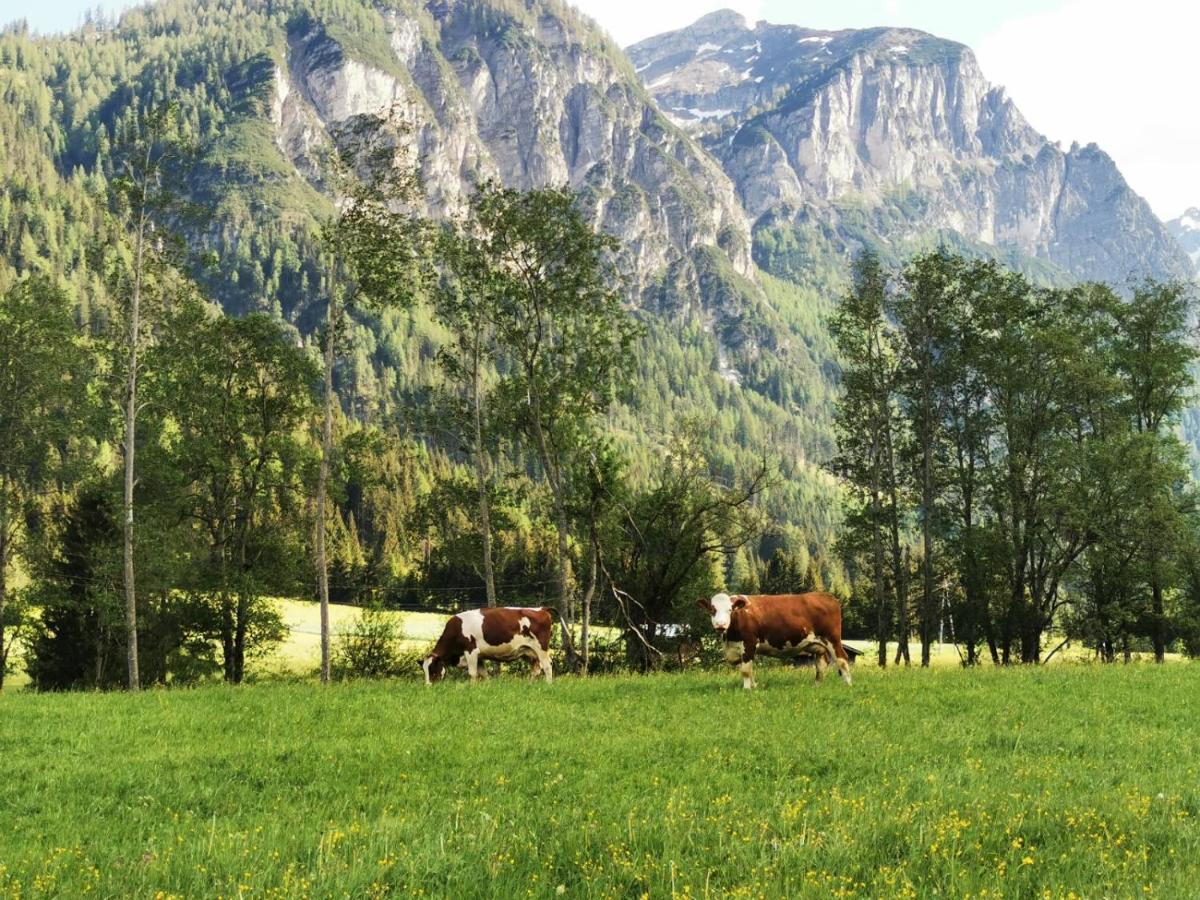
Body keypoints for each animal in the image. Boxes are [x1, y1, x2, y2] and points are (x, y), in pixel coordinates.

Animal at [420, 609, 554, 686]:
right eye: (424, 671)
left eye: (432, 669)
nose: (428, 686)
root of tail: (541, 609)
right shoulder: (479, 657)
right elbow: (484, 673)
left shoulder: (471, 651)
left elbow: (472, 673)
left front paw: (472, 687)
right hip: (528, 651)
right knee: (536, 670)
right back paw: (530, 684)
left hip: (541, 649)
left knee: (547, 666)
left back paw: (549, 684)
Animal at [696, 592, 854, 691]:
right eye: (712, 610)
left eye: (730, 610)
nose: (720, 625)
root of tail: (825, 595)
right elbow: (750, 670)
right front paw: (754, 687)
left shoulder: (749, 643)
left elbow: (746, 670)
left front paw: (746, 689)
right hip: (816, 644)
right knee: (821, 664)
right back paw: (817, 686)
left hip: (832, 638)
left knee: (842, 659)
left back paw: (848, 685)